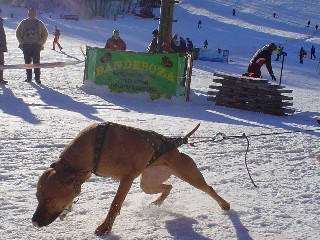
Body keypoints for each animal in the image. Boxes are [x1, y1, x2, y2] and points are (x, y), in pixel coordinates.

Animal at [32, 123, 230, 235]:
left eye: (48, 199)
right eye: (37, 198)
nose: (33, 222)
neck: (93, 148)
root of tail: (174, 145)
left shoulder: (127, 178)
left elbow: (115, 204)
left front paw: (105, 228)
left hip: (189, 175)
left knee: (209, 189)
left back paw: (224, 204)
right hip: (148, 183)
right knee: (168, 187)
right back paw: (157, 203)